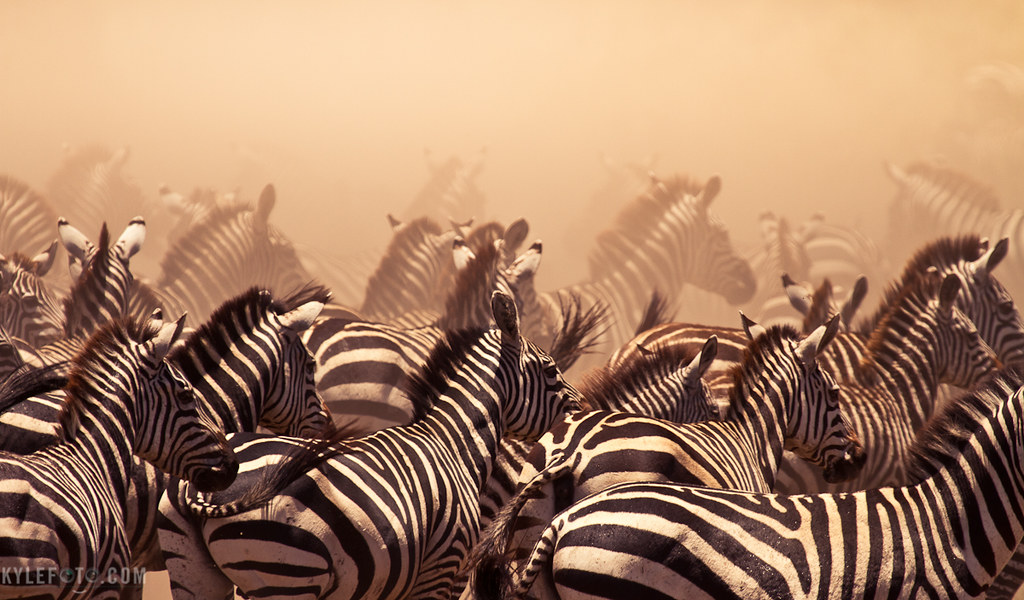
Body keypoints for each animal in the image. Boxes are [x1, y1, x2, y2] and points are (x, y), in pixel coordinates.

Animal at [157, 290, 581, 600]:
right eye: (550, 369)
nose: (581, 408)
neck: (454, 443)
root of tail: (202, 485)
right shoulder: (441, 571)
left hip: (194, 573)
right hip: (285, 573)